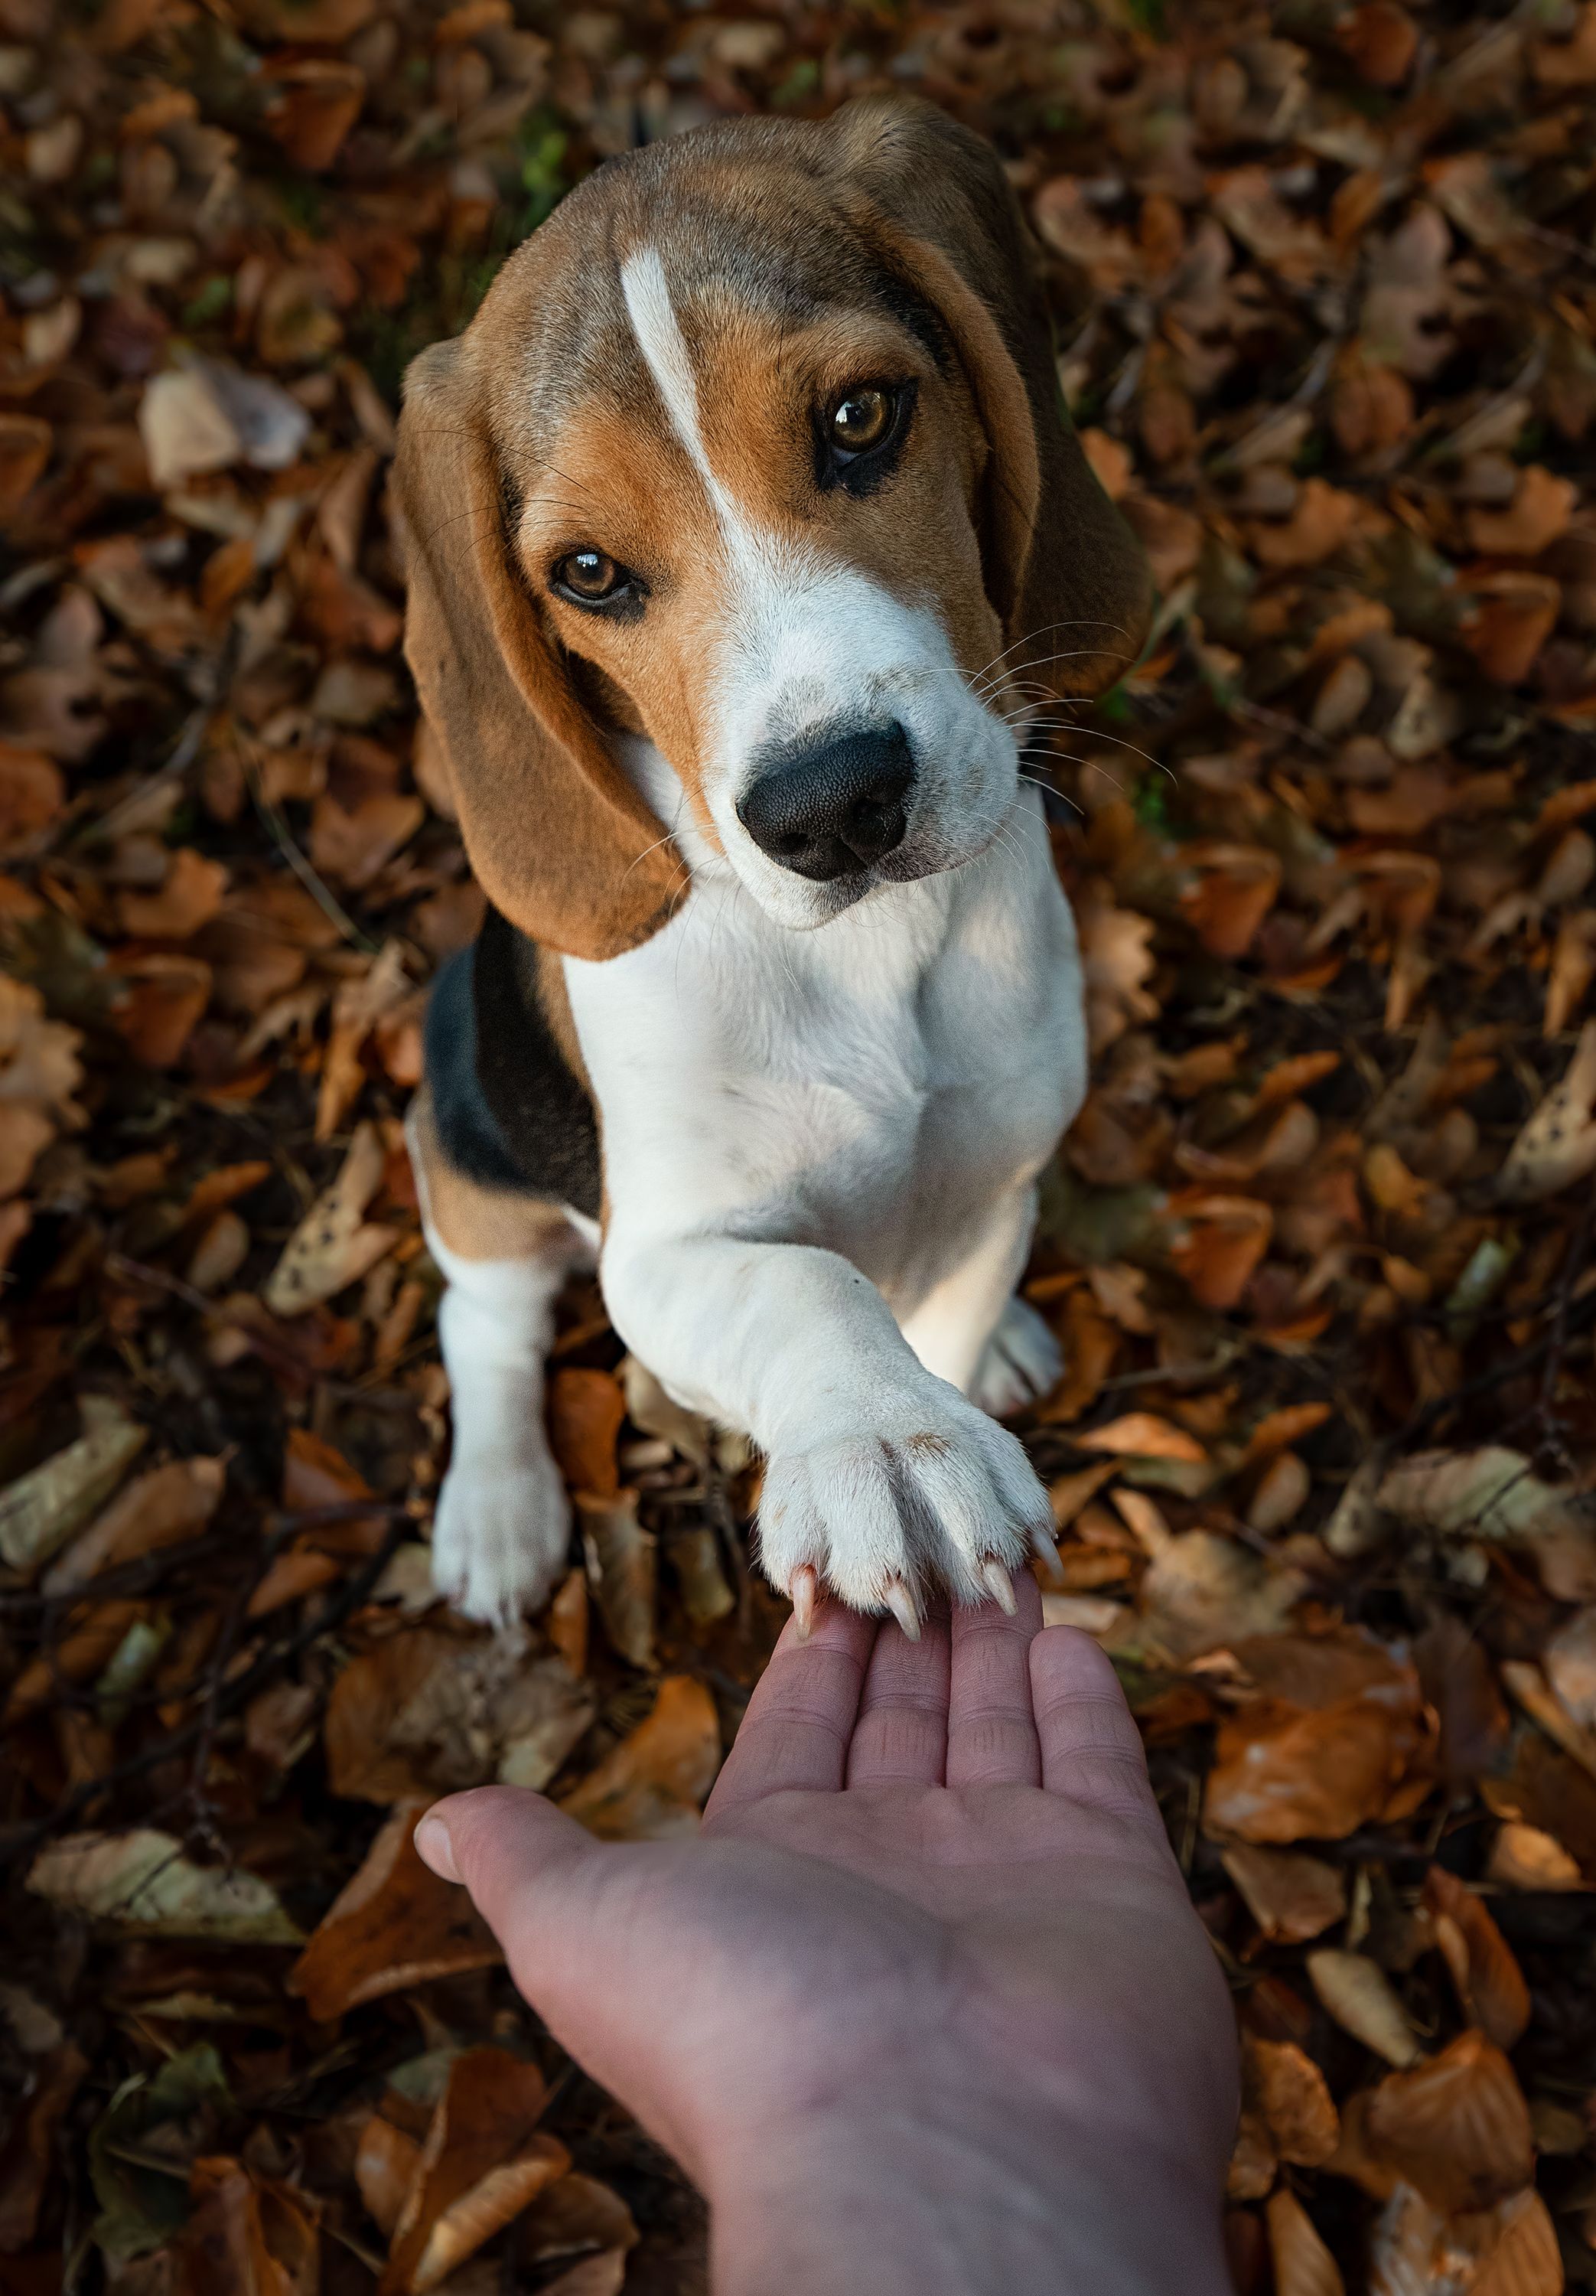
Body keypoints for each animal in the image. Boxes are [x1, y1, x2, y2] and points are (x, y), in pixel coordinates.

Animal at [397, 90, 1148, 1635]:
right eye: (586, 574)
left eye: (859, 417)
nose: (832, 807)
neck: (867, 953)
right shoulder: (668, 1256)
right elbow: (806, 1290)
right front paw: (883, 1436)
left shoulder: (991, 1184)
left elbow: (938, 1317)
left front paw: (947, 1388)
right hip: (466, 1130)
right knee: (484, 1320)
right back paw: (498, 1510)